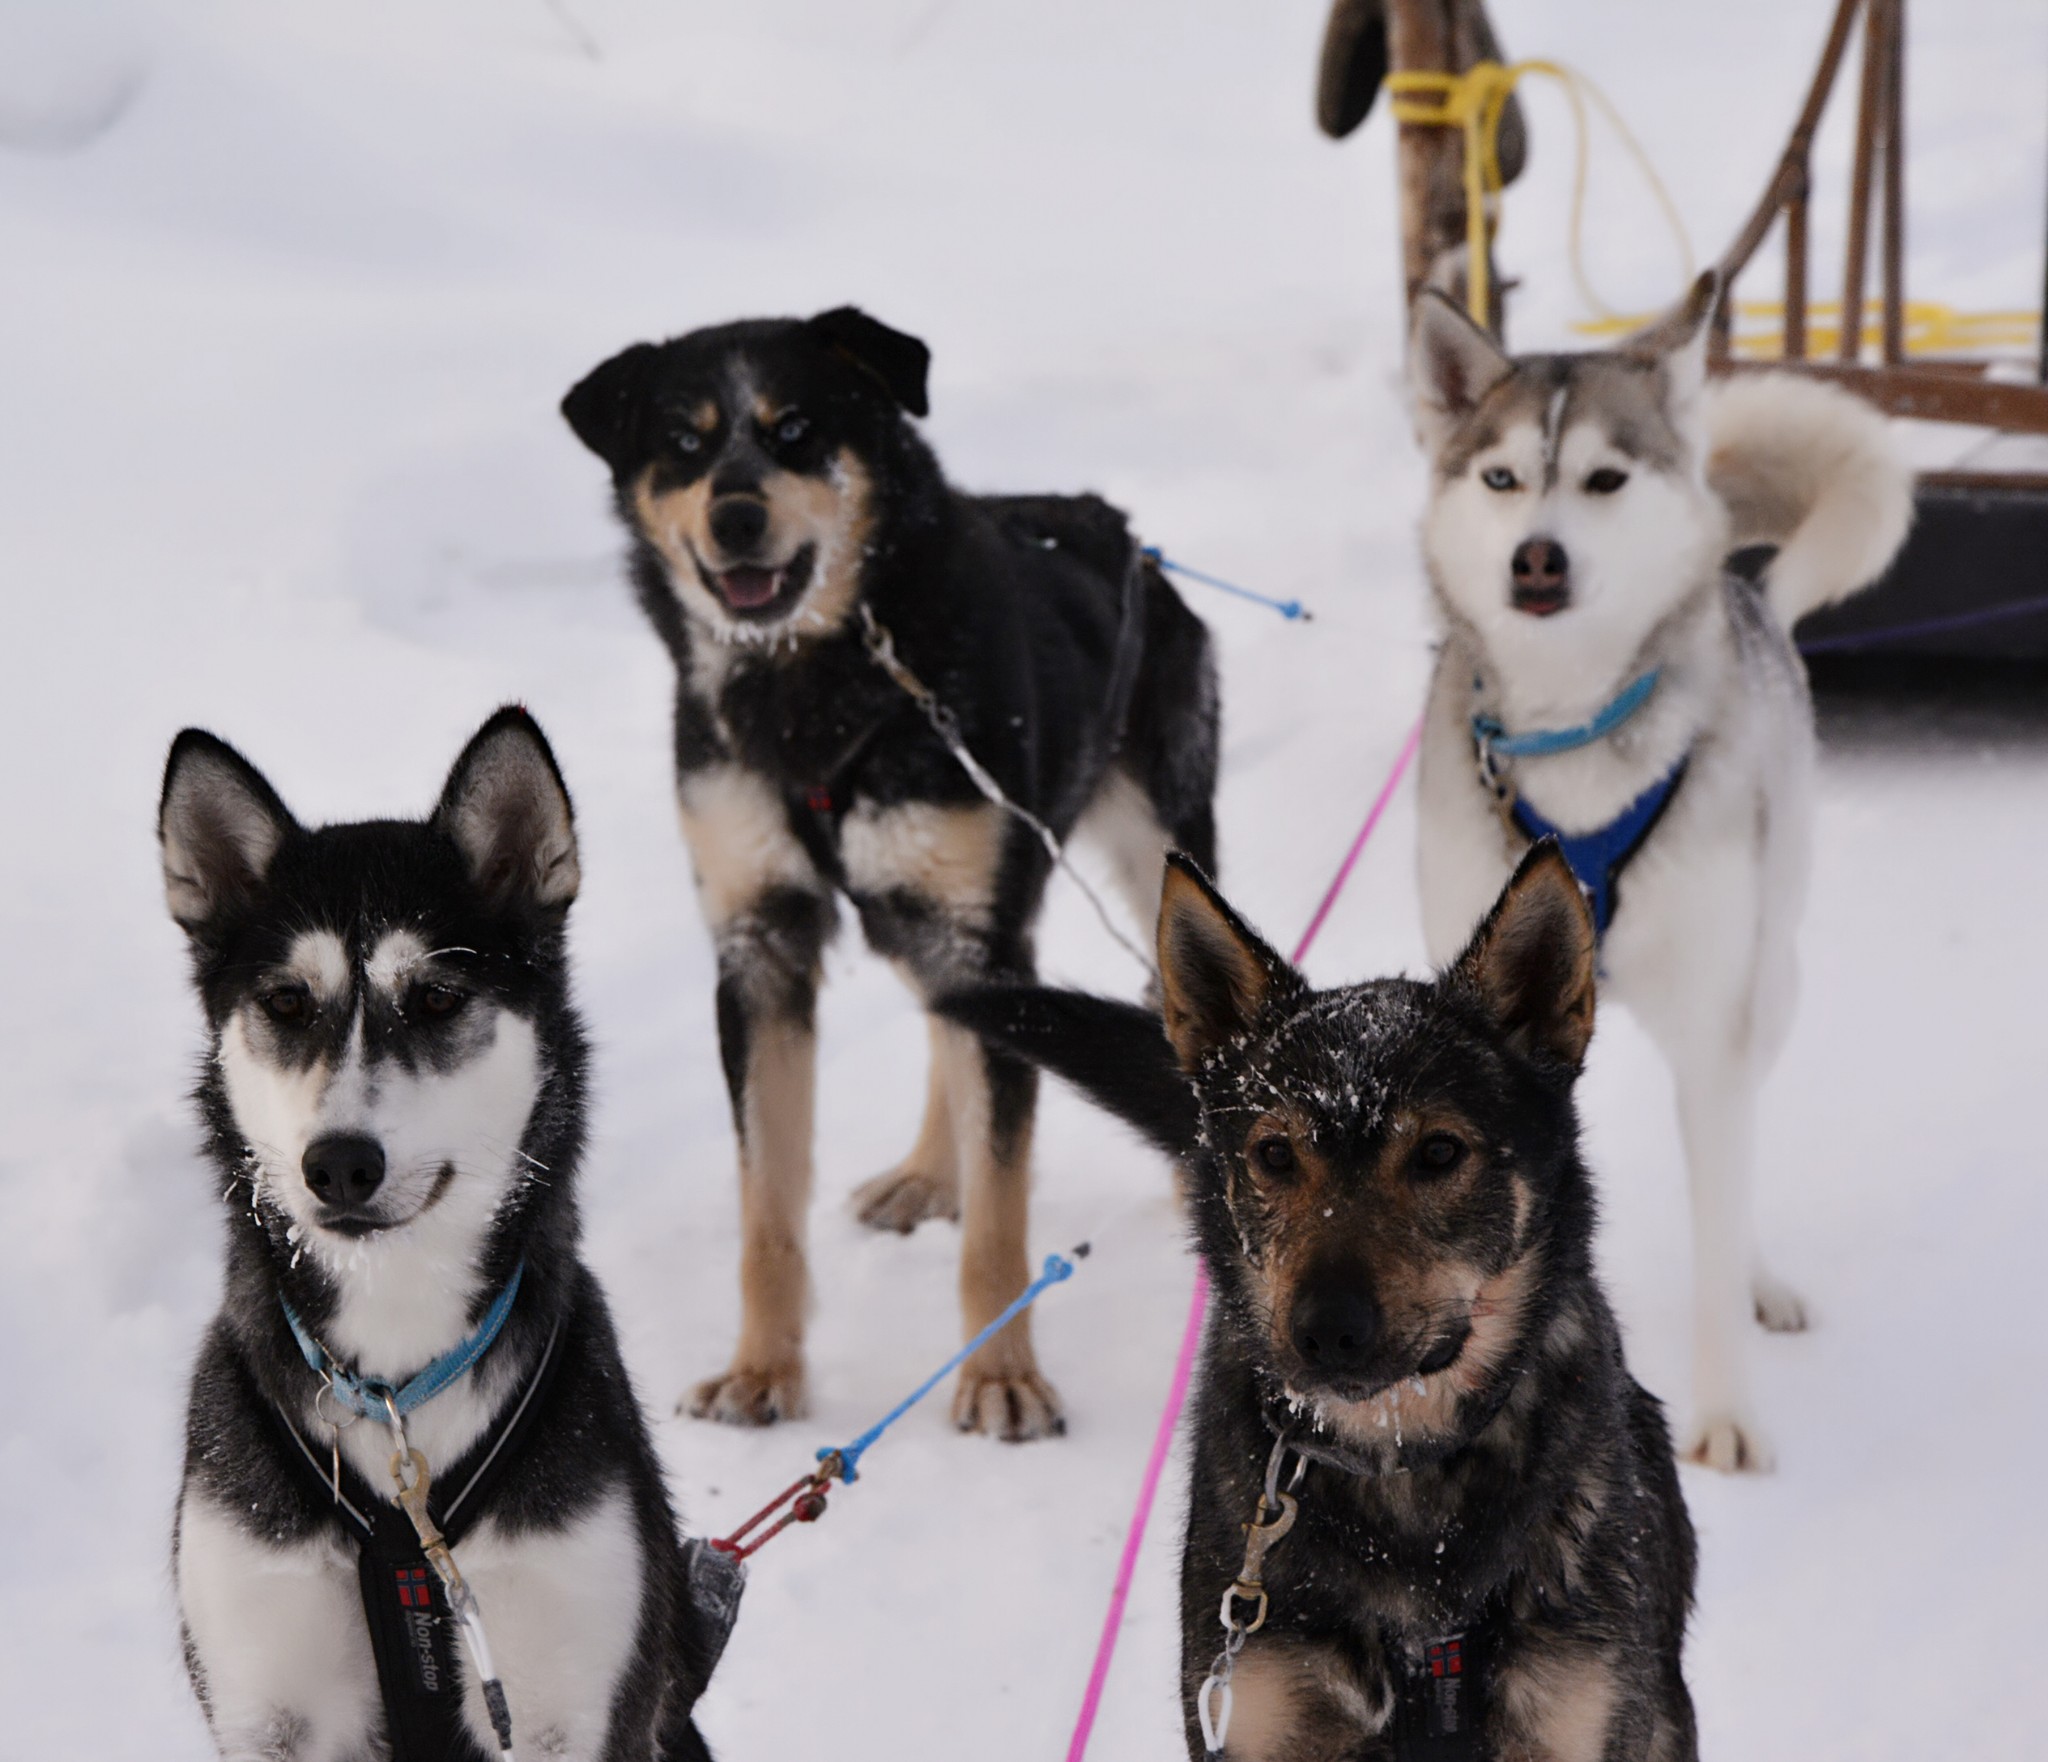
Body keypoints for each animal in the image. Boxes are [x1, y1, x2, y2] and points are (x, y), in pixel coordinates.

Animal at [565, 309, 1212, 1442]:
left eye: (795, 427)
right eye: (683, 442)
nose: (736, 515)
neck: (809, 693)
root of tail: (1113, 525)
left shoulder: (976, 931)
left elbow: (999, 1223)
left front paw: (1000, 1376)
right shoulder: (762, 950)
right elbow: (766, 1210)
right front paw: (760, 1369)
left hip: (1149, 853)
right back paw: (926, 1171)